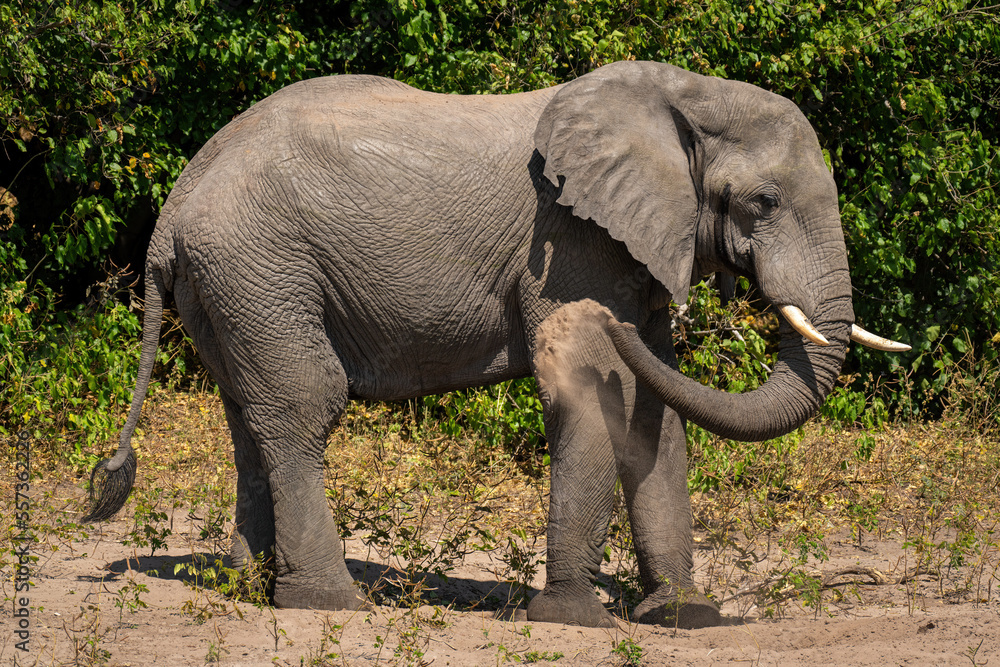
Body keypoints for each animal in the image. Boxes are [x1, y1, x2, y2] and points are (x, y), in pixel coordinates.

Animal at [82, 60, 908, 628]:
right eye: (763, 202)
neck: (683, 94)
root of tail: (175, 204)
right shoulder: (571, 240)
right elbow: (594, 386)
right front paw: (577, 619)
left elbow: (654, 408)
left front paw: (683, 618)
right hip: (259, 265)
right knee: (301, 407)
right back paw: (331, 604)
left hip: (233, 287)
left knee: (249, 419)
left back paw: (252, 592)